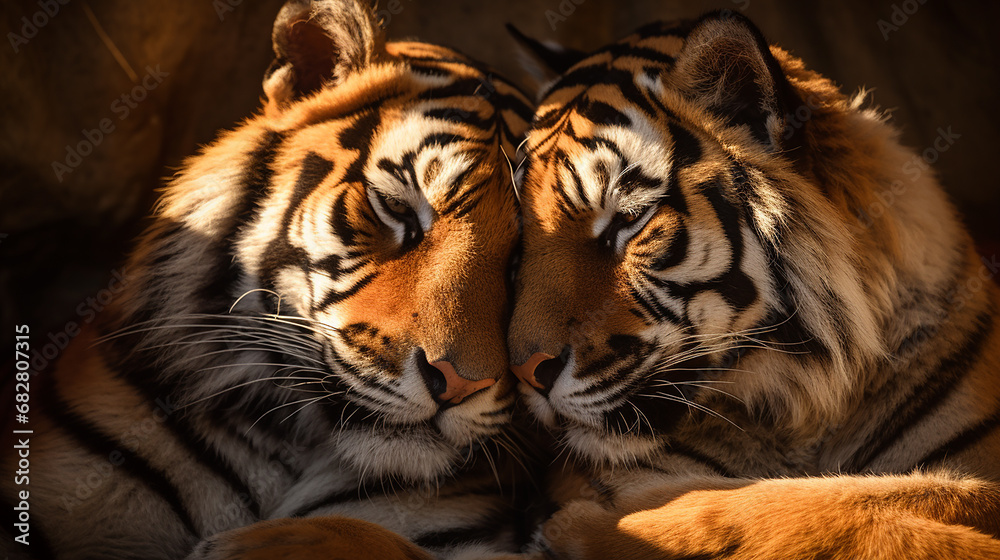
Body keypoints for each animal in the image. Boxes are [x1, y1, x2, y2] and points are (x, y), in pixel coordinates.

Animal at [506, 11, 1000, 559]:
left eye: (628, 220)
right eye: (524, 231)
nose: (524, 373)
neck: (807, 407)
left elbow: (827, 500)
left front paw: (578, 525)